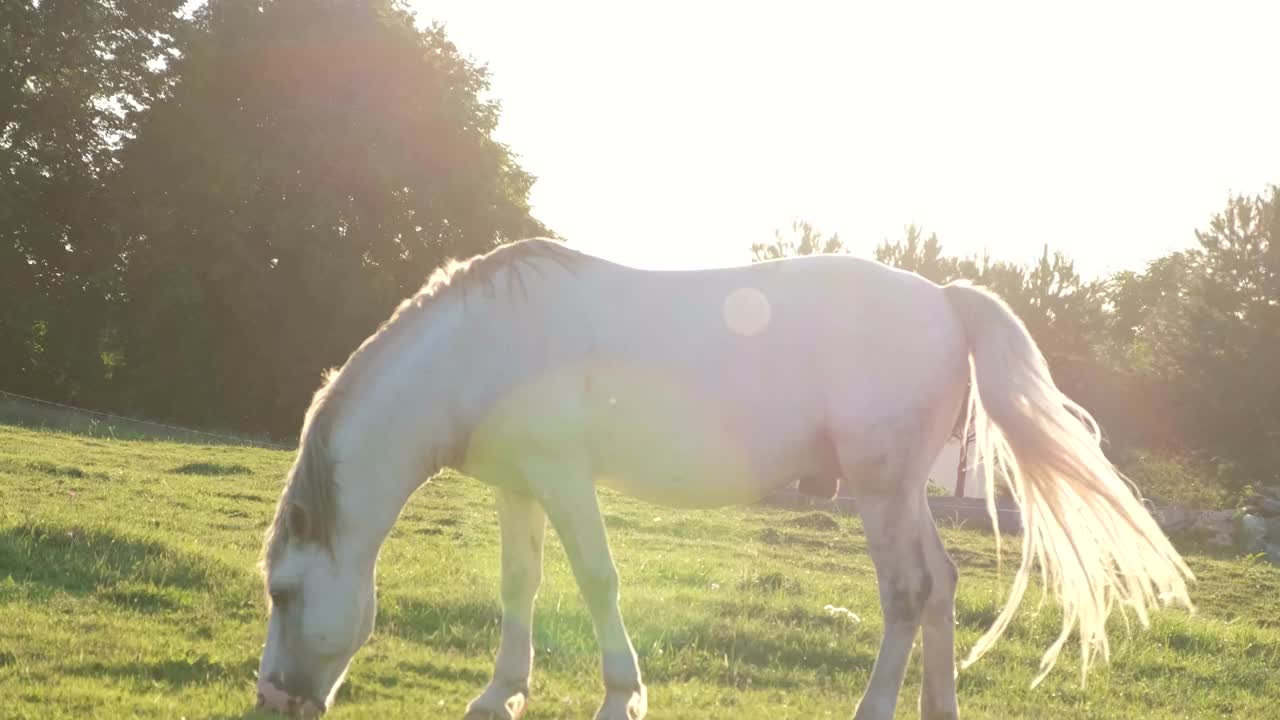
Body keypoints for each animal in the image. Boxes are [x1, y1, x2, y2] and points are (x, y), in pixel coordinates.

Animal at [254, 239, 1192, 717]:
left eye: (284, 594)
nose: (272, 703)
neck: (478, 345)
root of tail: (944, 297)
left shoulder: (564, 477)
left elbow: (597, 579)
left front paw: (622, 696)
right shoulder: (520, 485)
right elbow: (521, 584)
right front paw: (499, 695)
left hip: (880, 492)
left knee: (907, 592)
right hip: (899, 493)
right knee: (942, 586)